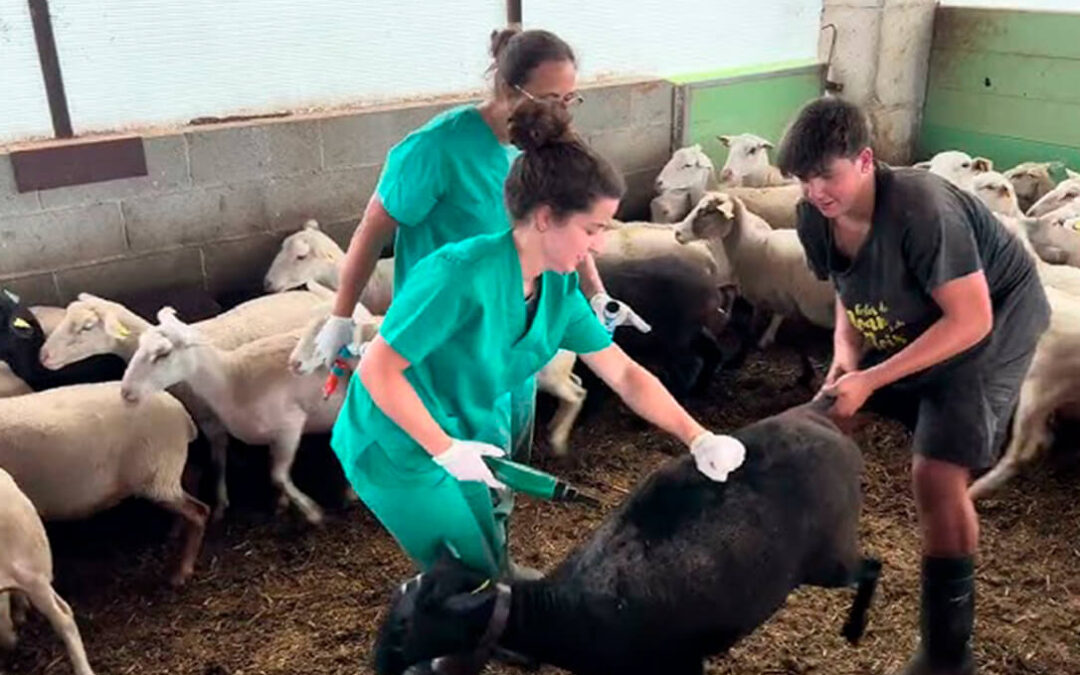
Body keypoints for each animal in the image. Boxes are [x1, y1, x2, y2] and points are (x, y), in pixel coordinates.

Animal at [0, 384, 205, 583]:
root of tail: (184, 417)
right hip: (167, 471)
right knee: (193, 478)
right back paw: (175, 533)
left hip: (157, 476)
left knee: (200, 511)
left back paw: (180, 574)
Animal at [121, 311, 345, 527]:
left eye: (163, 353)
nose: (126, 392)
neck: (232, 380)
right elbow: (227, 466)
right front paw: (280, 506)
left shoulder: (290, 427)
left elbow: (278, 477)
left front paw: (313, 513)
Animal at [673, 190, 833, 347]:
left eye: (706, 211)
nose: (677, 233)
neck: (754, 244)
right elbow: (757, 310)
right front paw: (753, 328)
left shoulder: (781, 293)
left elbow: (776, 316)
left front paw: (764, 339)